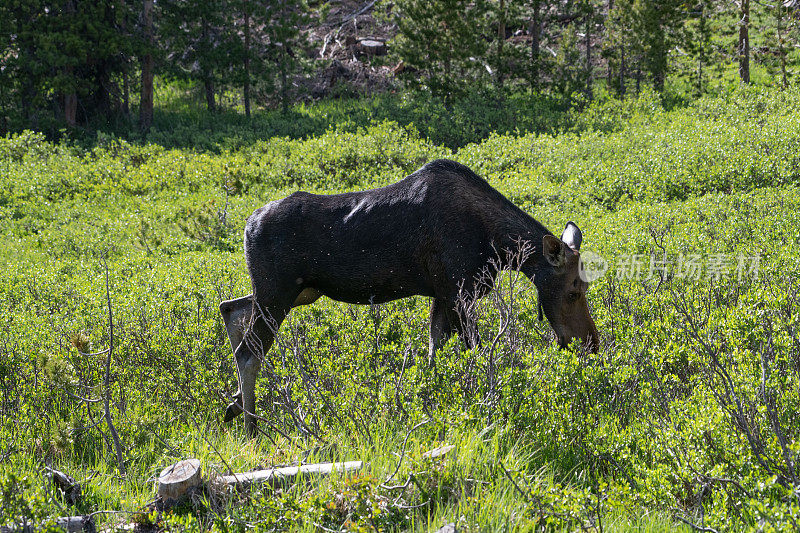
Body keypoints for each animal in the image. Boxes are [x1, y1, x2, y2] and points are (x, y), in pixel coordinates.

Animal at [219, 157, 600, 432]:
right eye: (573, 290)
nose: (591, 344)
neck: (500, 246)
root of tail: (247, 225)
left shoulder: (443, 296)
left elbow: (434, 355)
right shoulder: (458, 293)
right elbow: (475, 358)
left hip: (298, 292)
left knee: (230, 308)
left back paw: (233, 405)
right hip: (277, 293)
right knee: (248, 352)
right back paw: (252, 430)